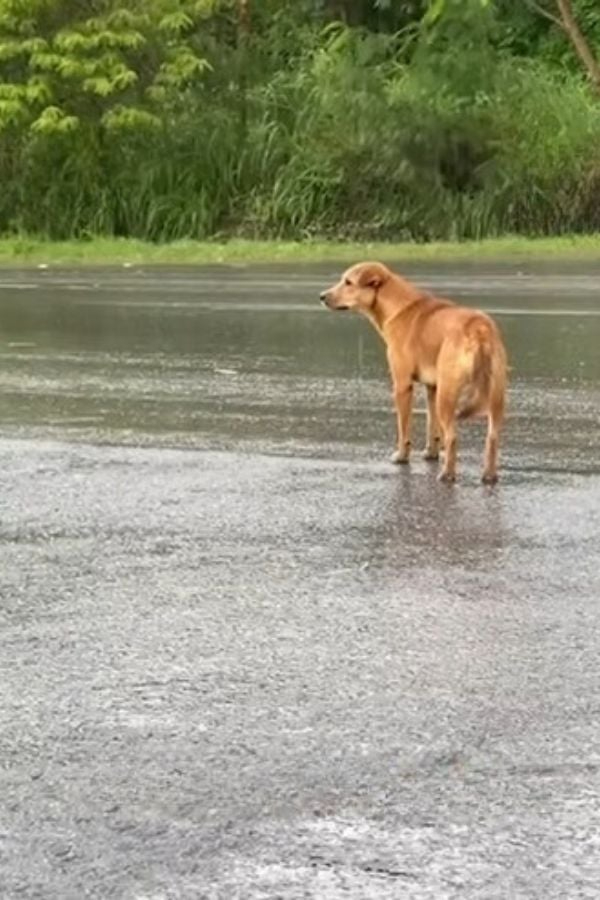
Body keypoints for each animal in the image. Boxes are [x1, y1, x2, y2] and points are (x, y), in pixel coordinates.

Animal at [318, 260, 506, 486]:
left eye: (348, 282)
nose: (321, 296)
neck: (398, 307)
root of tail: (479, 328)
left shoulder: (402, 384)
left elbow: (403, 428)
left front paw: (401, 457)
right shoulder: (432, 388)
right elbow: (432, 427)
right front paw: (431, 453)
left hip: (448, 394)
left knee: (452, 437)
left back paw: (447, 475)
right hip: (494, 395)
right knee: (492, 437)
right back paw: (489, 476)